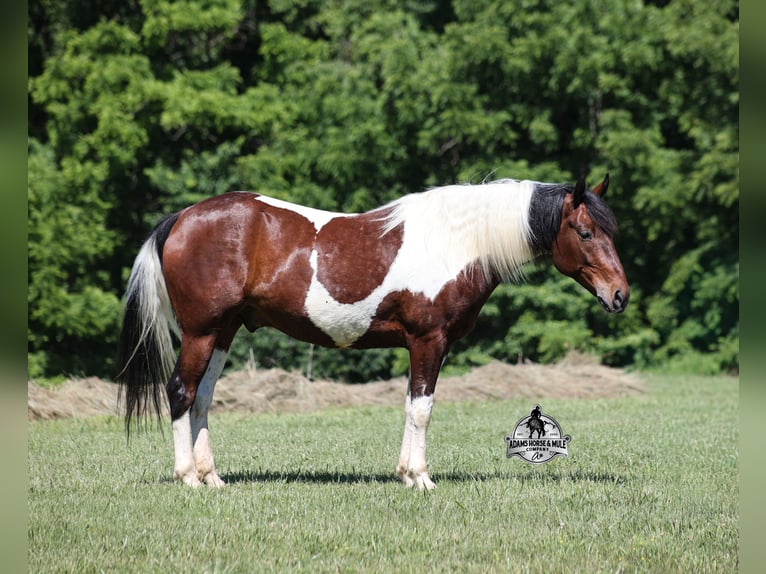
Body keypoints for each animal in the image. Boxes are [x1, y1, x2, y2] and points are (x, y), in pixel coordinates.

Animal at [116, 174, 629, 490]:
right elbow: (422, 409)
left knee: (202, 398)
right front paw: (421, 478)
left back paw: (212, 477)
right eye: (585, 232)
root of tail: (182, 218)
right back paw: (187, 476)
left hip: (224, 331)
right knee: (180, 392)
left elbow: (410, 405)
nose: (620, 295)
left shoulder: (424, 346)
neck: (456, 243)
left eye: (612, 231)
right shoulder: (428, 340)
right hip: (202, 332)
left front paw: (405, 473)